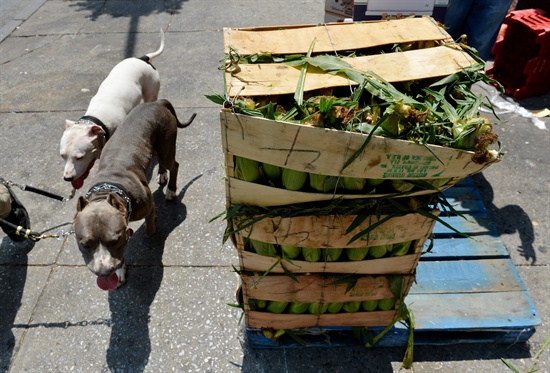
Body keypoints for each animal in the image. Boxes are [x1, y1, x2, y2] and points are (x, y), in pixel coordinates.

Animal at [60, 29, 165, 189]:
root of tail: (142, 59)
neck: (97, 118)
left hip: (151, 92)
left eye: (80, 157)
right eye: (62, 156)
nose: (67, 178)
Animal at [74, 97, 196, 290]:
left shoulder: (149, 205)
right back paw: (162, 175)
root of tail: (158, 103)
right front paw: (120, 272)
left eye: (114, 241)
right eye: (84, 244)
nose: (104, 273)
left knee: (174, 165)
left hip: (166, 146)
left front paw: (153, 228)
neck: (109, 188)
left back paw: (171, 190)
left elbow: (150, 227)